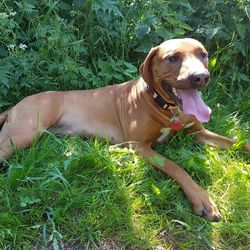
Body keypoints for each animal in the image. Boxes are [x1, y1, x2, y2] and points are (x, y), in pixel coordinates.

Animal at [0, 38, 250, 221]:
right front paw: (201, 198)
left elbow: (236, 142)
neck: (167, 108)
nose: (201, 77)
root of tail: (15, 105)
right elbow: (175, 166)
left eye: (203, 54)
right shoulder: (139, 146)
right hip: (24, 133)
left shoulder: (197, 132)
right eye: (172, 58)